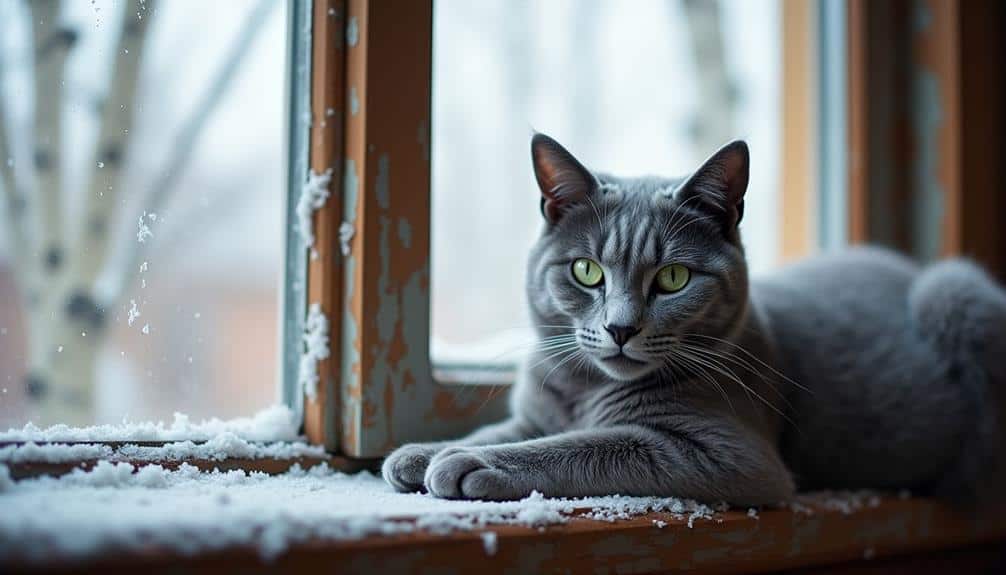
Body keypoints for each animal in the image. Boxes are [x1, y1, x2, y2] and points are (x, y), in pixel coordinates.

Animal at [380, 134, 1001, 506]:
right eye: (585, 270)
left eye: (674, 278)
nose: (620, 328)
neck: (586, 391)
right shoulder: (539, 410)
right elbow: (511, 429)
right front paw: (424, 452)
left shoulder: (729, 452)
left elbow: (590, 445)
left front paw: (465, 461)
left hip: (956, 292)